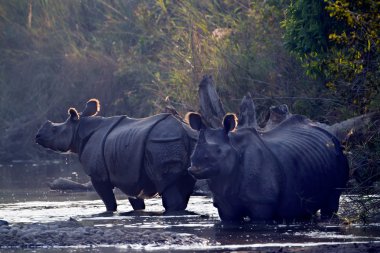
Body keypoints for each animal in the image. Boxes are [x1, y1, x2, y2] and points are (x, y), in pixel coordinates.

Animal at [36, 99, 197, 211]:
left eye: (54, 130)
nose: (37, 136)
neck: (79, 128)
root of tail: (184, 130)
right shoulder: (128, 175)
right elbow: (135, 199)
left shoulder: (99, 176)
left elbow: (108, 200)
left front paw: (110, 212)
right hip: (186, 142)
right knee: (185, 184)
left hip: (162, 143)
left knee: (168, 186)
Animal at [186, 112, 348, 221]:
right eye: (193, 150)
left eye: (219, 151)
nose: (195, 167)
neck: (234, 147)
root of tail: (329, 134)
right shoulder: (224, 204)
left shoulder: (262, 202)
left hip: (339, 156)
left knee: (332, 201)